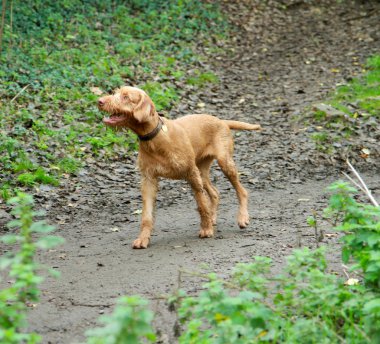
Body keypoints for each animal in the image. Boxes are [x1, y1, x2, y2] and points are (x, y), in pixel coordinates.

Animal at [97, 85, 262, 247]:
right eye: (115, 92)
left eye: (126, 97)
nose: (100, 101)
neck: (156, 138)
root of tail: (221, 121)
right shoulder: (148, 179)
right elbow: (146, 215)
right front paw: (143, 239)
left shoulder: (191, 174)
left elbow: (202, 204)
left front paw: (206, 229)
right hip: (202, 171)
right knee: (215, 193)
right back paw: (213, 217)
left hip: (224, 163)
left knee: (242, 191)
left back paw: (242, 218)